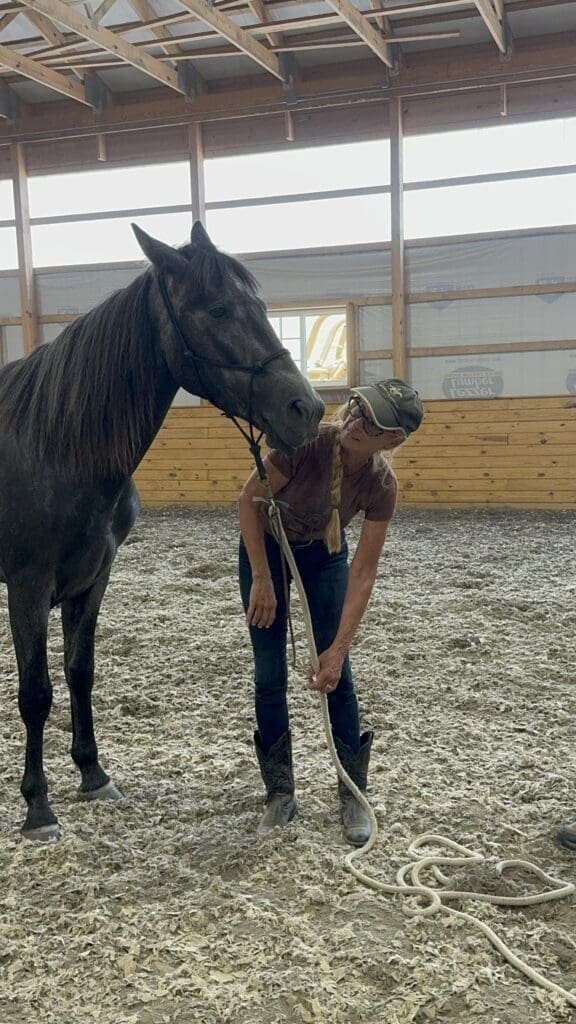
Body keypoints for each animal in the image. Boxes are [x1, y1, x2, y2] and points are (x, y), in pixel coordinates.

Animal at [0, 220, 324, 840]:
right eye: (218, 308)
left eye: (260, 305)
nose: (308, 409)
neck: (53, 446)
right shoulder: (27, 586)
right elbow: (35, 693)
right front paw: (38, 808)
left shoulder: (93, 578)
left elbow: (80, 672)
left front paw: (93, 774)